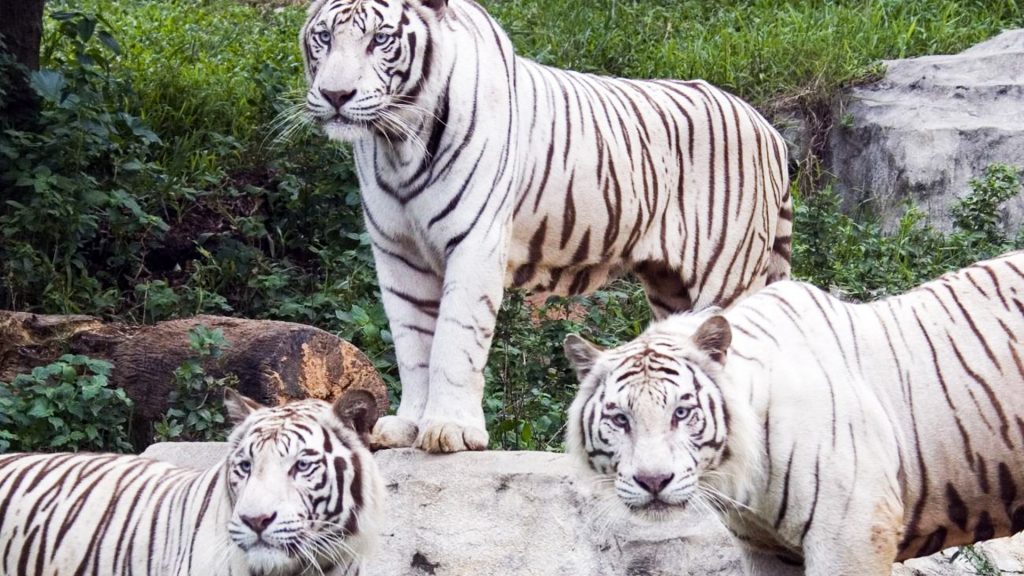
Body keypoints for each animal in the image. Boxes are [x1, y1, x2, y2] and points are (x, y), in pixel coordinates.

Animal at [300, 0, 791, 454]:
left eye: (380, 39)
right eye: (324, 37)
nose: (336, 95)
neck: (398, 141)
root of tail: (768, 129)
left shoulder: (474, 242)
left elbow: (454, 341)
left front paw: (450, 429)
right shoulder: (397, 252)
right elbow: (413, 342)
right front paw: (408, 425)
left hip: (727, 275)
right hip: (671, 287)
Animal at [565, 251, 1024, 575]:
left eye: (681, 412)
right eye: (620, 419)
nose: (653, 481)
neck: (745, 477)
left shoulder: (854, 534)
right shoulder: (765, 548)